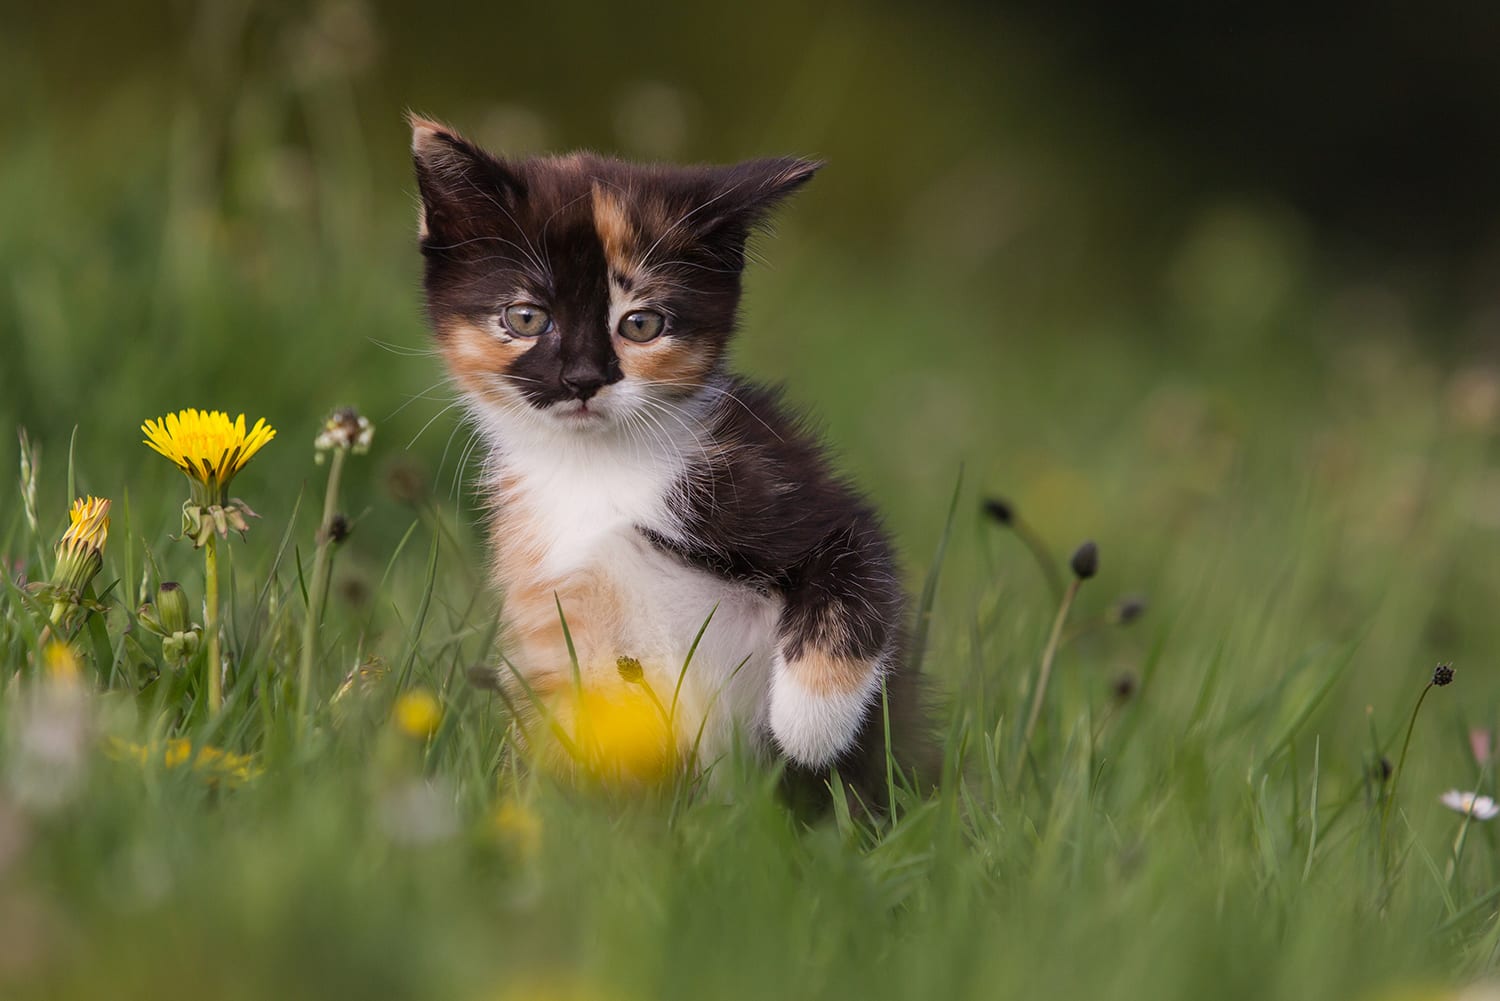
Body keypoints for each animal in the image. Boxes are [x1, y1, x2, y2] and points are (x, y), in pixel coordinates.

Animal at [414, 115, 924, 804]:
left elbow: (857, 567)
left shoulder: (787, 480)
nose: (582, 379)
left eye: (641, 325)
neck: (598, 471)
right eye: (526, 317)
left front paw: (809, 727)